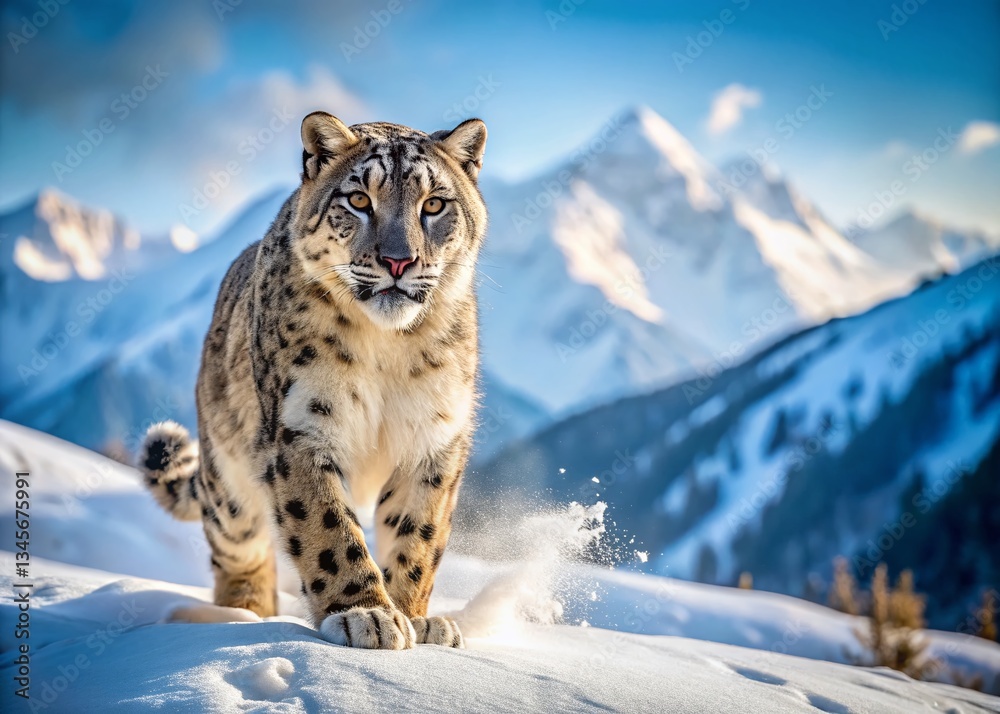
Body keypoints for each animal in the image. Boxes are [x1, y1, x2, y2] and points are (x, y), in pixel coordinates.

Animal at [137, 111, 488, 650]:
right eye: (359, 199)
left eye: (434, 204)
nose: (399, 261)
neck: (389, 348)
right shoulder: (302, 424)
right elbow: (328, 528)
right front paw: (367, 614)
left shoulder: (435, 436)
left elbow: (418, 533)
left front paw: (416, 618)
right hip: (229, 488)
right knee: (238, 551)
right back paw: (241, 615)